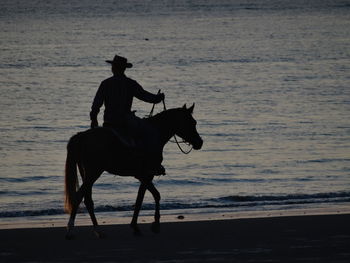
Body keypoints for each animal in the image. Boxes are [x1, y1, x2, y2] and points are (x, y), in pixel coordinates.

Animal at [64, 103, 204, 239]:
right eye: (192, 122)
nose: (200, 142)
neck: (156, 132)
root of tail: (82, 136)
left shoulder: (142, 176)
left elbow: (143, 198)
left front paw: (138, 226)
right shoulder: (147, 175)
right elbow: (149, 197)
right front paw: (153, 225)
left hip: (86, 173)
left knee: (87, 200)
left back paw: (98, 231)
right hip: (93, 173)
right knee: (79, 196)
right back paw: (71, 231)